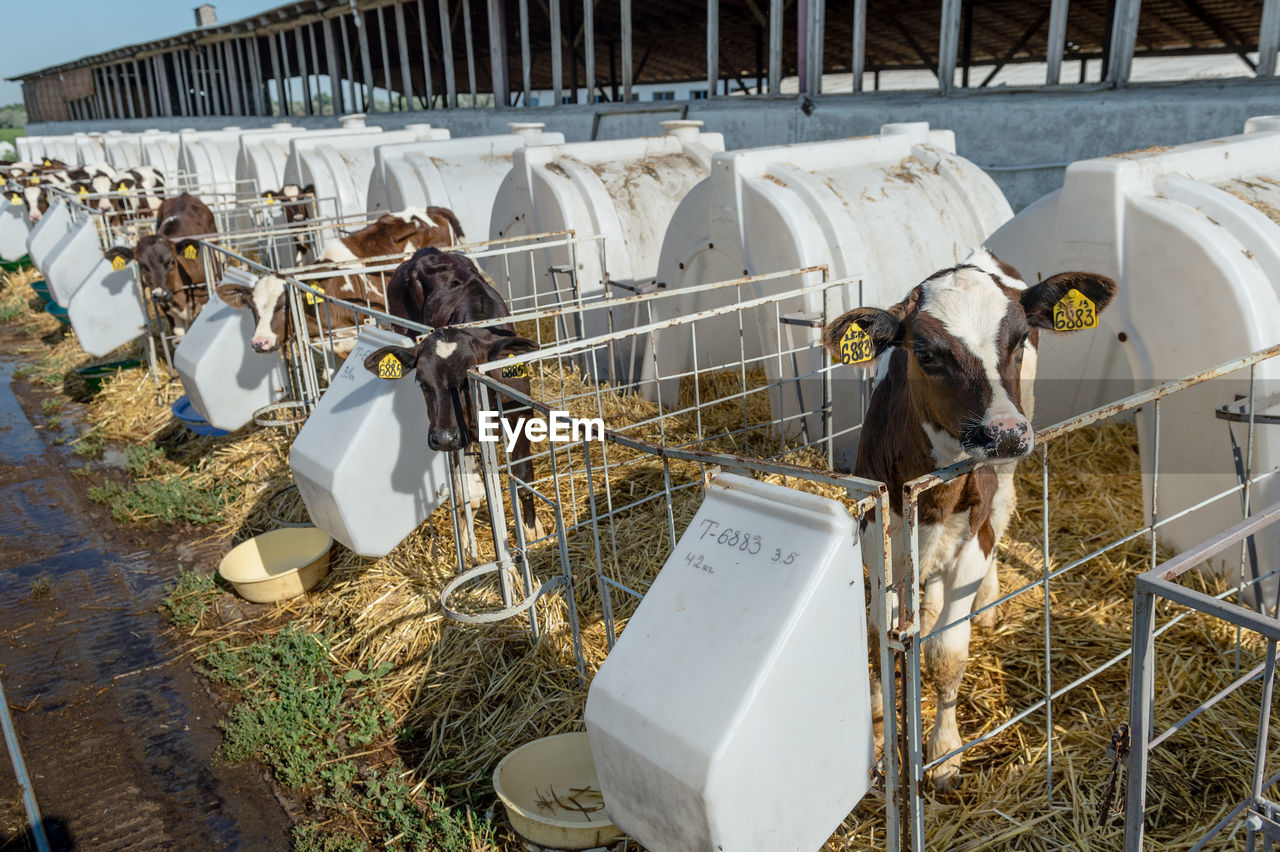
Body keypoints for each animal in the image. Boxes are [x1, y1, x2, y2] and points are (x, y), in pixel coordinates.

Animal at [103, 191, 217, 335]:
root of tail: (183, 195)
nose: (159, 294)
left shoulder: (204, 299)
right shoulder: (168, 312)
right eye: (142, 266)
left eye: (172, 261)